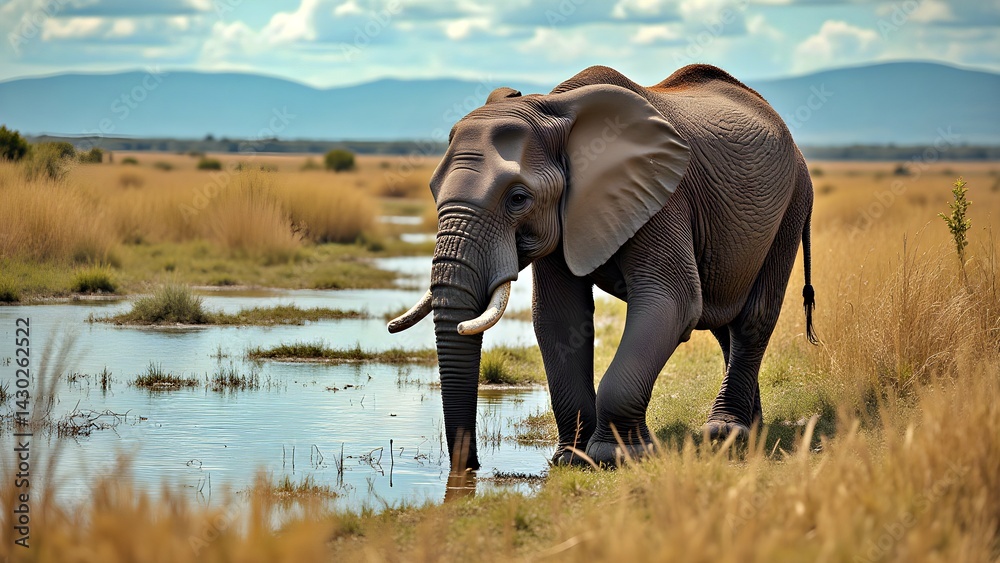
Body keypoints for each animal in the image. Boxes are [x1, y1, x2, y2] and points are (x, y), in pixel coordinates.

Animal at [388, 64, 817, 471]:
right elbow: (559, 316)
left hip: (793, 201)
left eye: (518, 199)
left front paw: (617, 457)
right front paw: (572, 459)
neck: (553, 108)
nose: (471, 467)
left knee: (751, 318)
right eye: (433, 191)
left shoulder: (662, 195)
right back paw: (748, 427)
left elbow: (672, 300)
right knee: (722, 321)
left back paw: (726, 431)